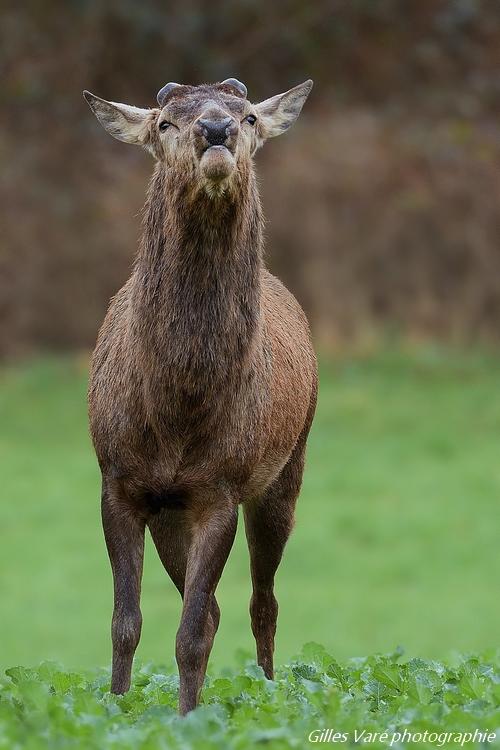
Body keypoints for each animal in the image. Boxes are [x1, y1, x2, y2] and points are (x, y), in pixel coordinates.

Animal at [82, 78, 316, 716]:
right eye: (165, 121)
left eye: (251, 115)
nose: (216, 129)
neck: (176, 414)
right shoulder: (118, 481)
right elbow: (126, 622)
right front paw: (118, 710)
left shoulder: (221, 488)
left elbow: (189, 633)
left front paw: (187, 720)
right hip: (171, 514)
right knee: (211, 607)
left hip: (286, 470)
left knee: (262, 603)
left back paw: (266, 692)